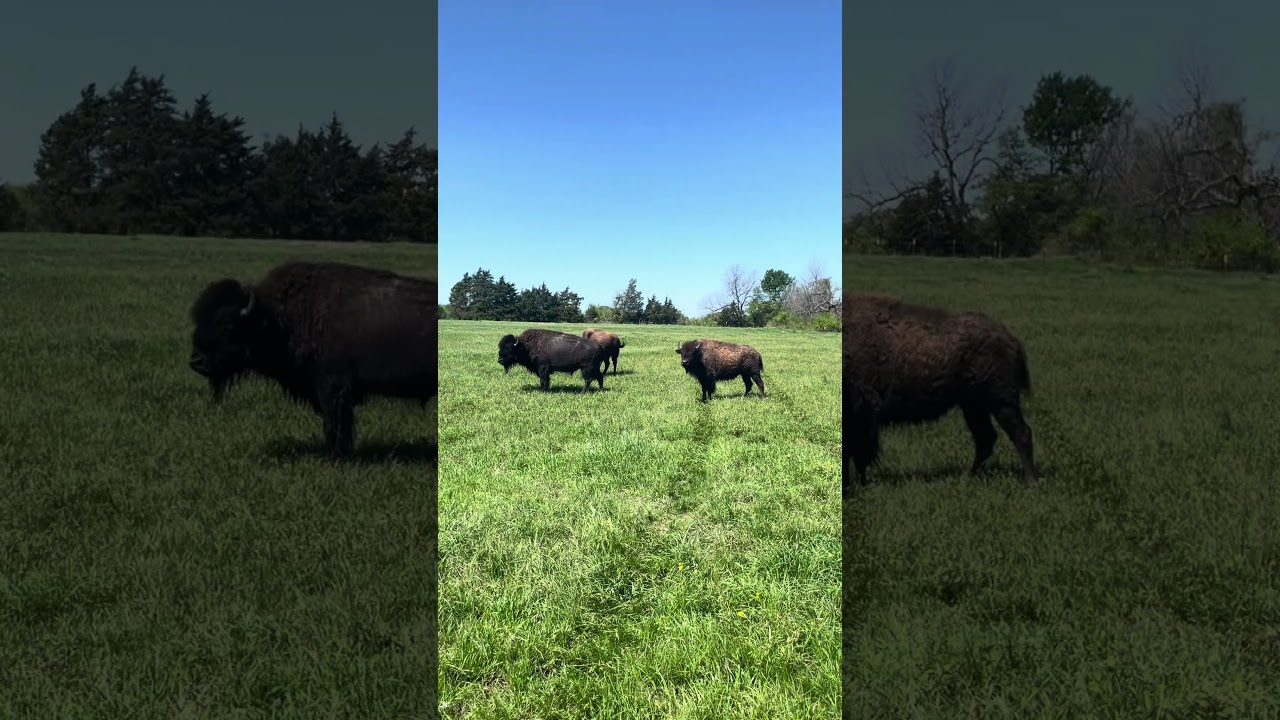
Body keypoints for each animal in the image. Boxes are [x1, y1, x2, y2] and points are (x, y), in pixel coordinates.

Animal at [188, 261, 438, 459]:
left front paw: (335, 457)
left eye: (227, 325)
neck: (275, 317)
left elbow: (334, 424)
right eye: (198, 320)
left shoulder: (332, 388)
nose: (196, 362)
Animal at [842, 292, 1036, 489]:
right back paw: (969, 476)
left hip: (1000, 401)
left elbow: (857, 452)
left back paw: (1030, 481)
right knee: (986, 438)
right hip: (973, 406)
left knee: (1020, 433)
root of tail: (1010, 338)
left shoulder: (863, 415)